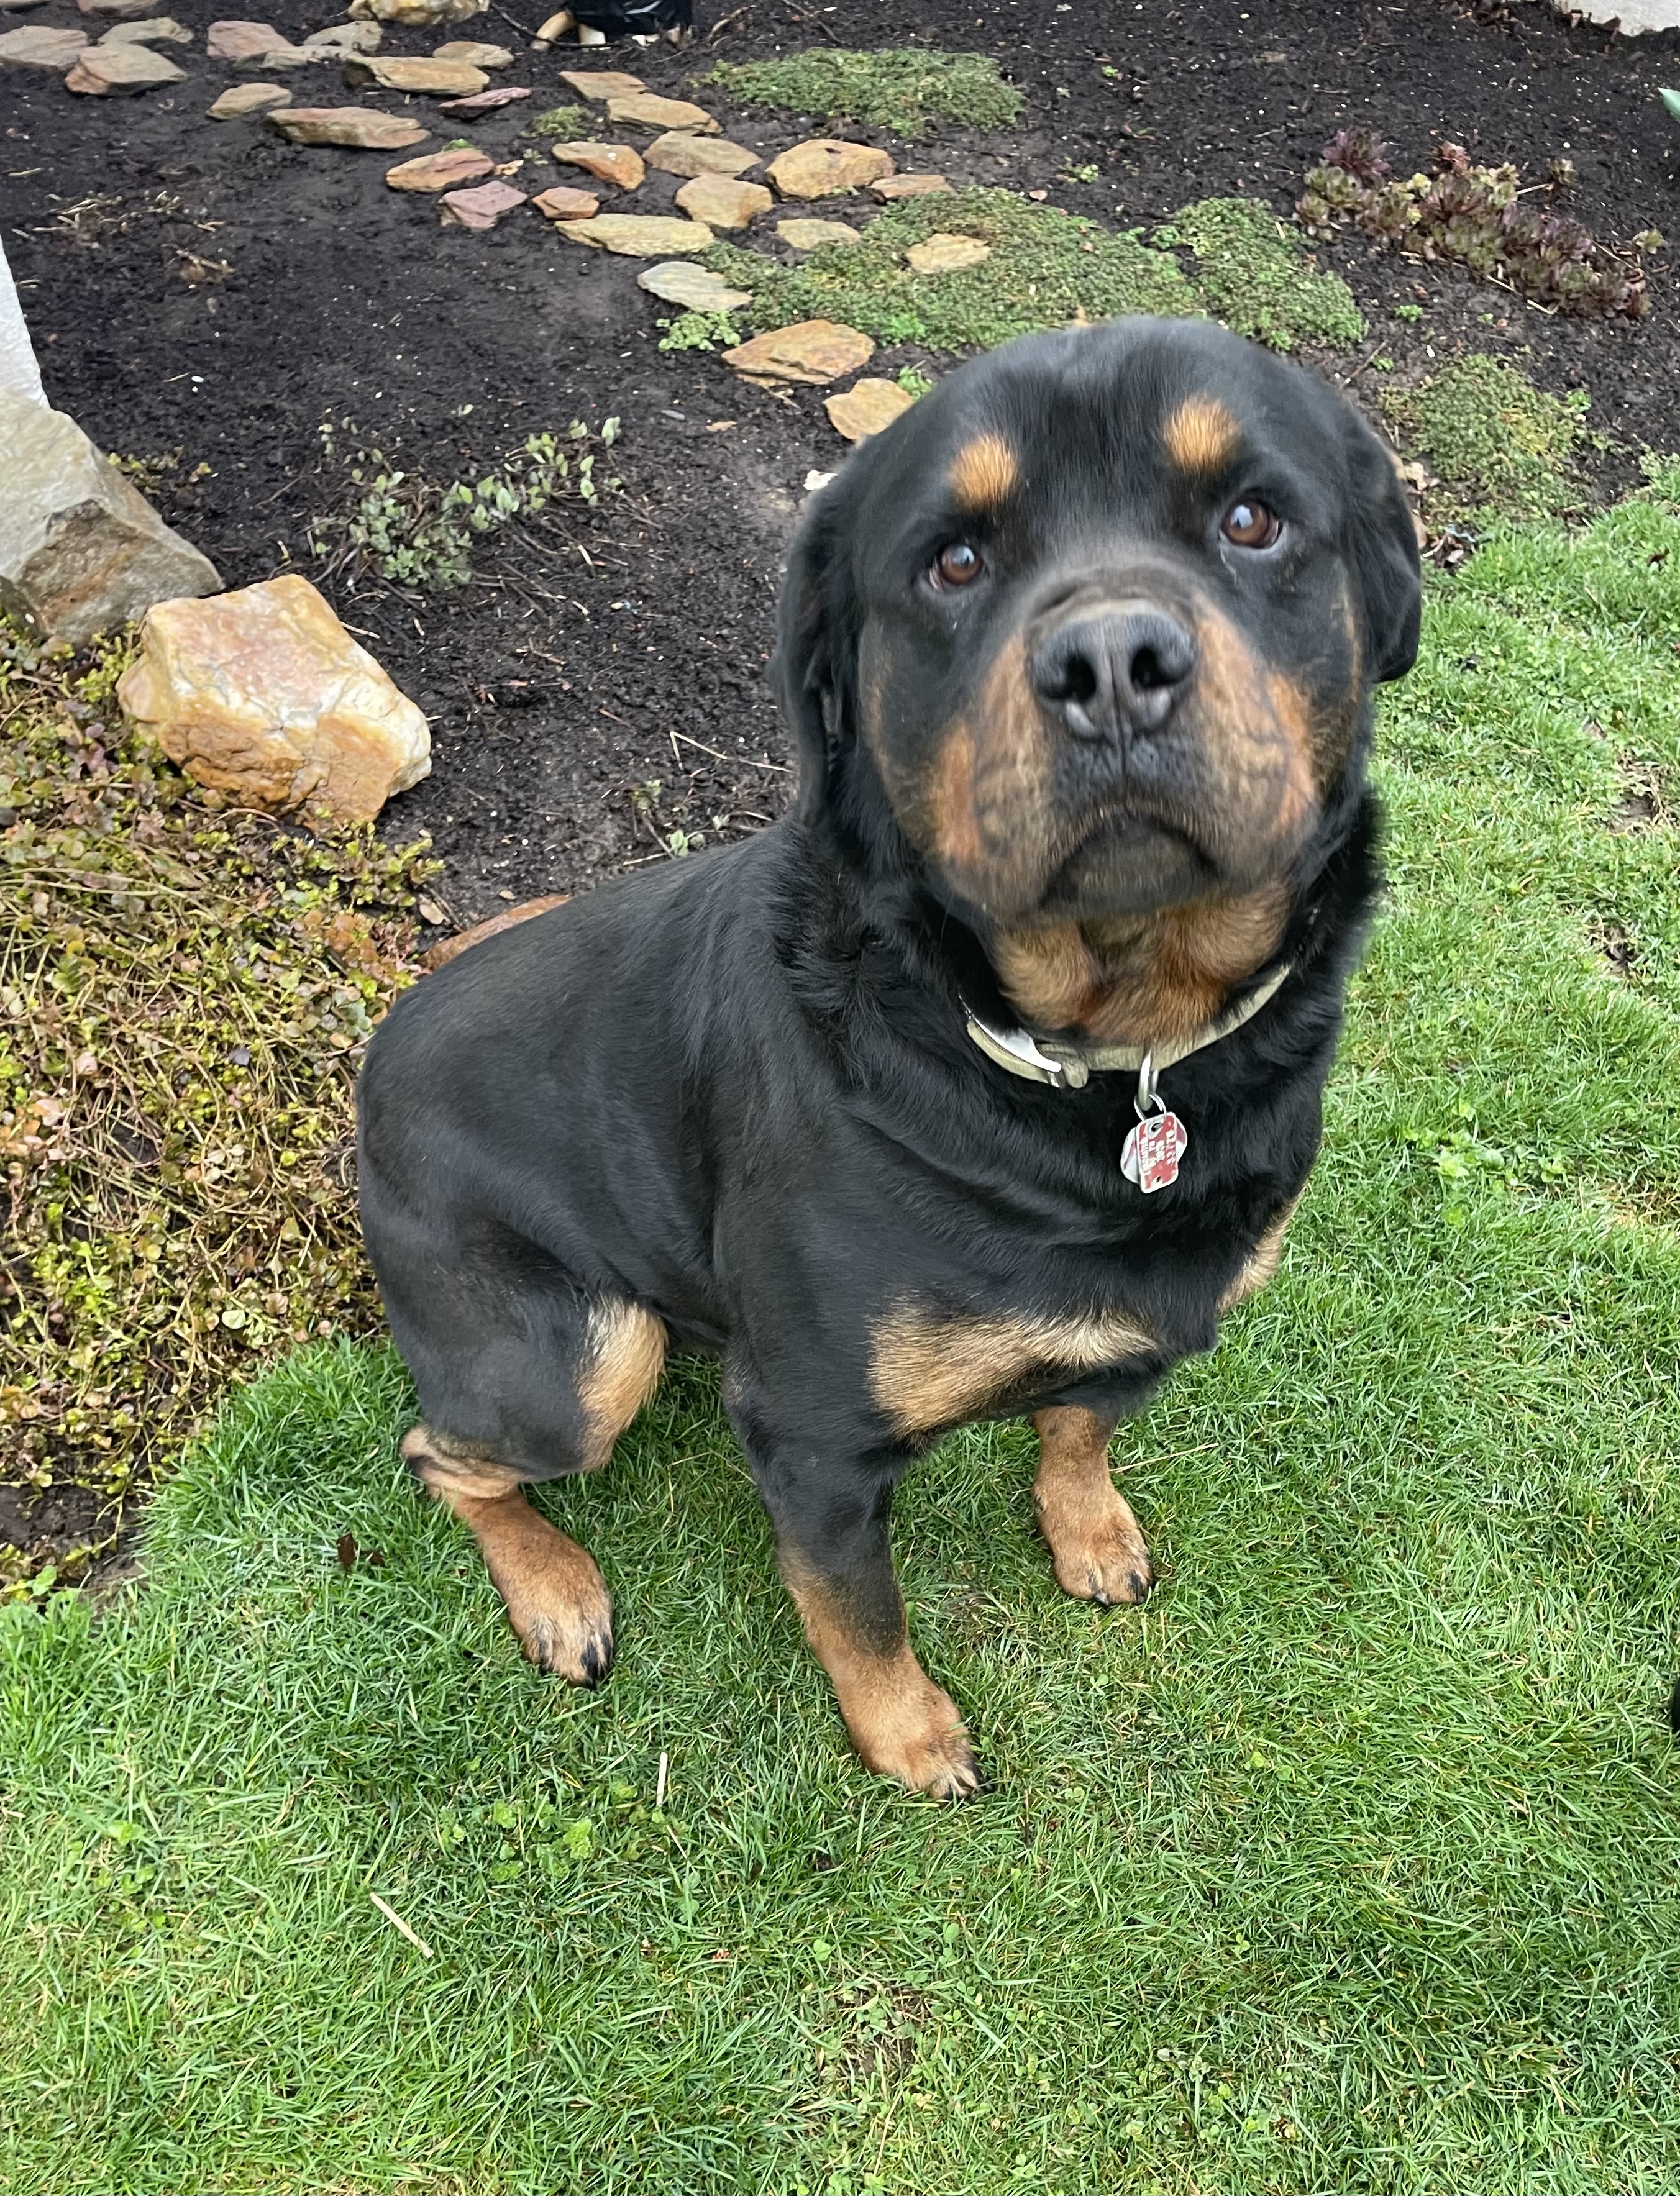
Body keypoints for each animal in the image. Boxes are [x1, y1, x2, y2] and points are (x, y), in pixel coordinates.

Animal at [357, 316, 1422, 1798]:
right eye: (951, 561)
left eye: (1252, 519)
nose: (1109, 664)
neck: (1103, 1056)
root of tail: (370, 1060)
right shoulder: (809, 1437)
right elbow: (856, 1611)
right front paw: (911, 1738)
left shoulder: (1144, 1330)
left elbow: (1077, 1428)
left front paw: (1088, 1530)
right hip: (579, 1358)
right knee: (437, 1450)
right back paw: (557, 1590)